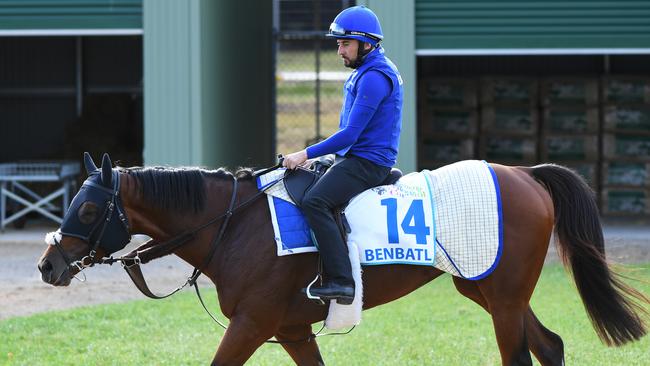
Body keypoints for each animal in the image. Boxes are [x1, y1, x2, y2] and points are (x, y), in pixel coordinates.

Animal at [38, 153, 644, 364]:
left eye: (87, 208)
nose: (48, 265)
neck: (235, 223)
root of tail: (524, 174)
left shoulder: (251, 324)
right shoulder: (290, 331)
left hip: (502, 297)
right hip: (488, 290)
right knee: (550, 346)